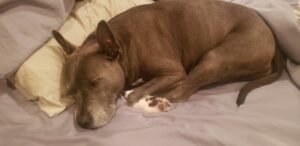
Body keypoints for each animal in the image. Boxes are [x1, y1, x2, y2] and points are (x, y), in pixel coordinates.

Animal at [52, 0, 284, 128]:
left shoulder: (173, 72)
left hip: (215, 57)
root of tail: (272, 36)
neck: (124, 44)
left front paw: (145, 100)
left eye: (94, 82)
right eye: (71, 93)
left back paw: (156, 101)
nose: (82, 123)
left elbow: (135, 96)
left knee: (181, 92)